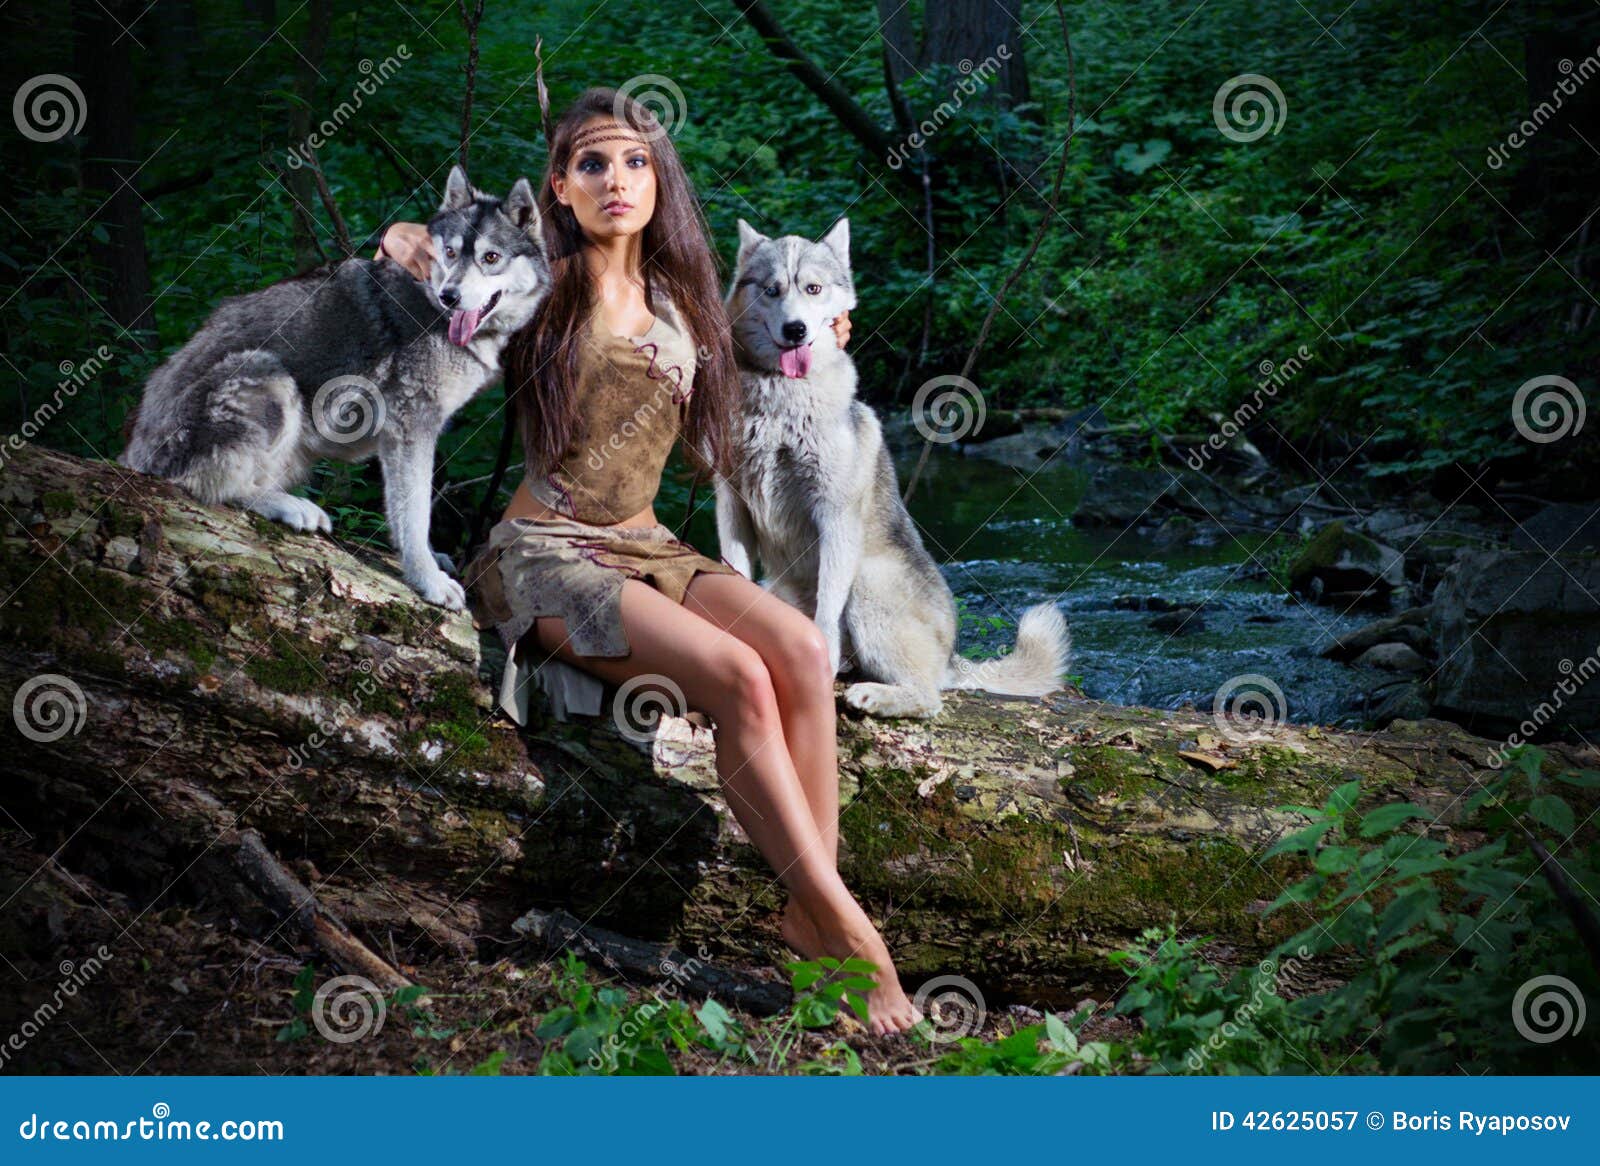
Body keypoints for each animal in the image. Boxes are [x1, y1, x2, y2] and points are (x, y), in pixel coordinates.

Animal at [121, 166, 553, 610]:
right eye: (450, 253)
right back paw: (290, 507)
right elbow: (415, 514)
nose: (450, 295)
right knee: (208, 483)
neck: (433, 307)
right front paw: (427, 579)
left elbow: (410, 511)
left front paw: (430, 561)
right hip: (270, 376)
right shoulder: (410, 428)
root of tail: (135, 448)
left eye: (490, 257)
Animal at [716, 214, 1075, 713]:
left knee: (929, 698)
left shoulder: (834, 514)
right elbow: (735, 579)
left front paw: (821, 659)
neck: (779, 401)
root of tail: (951, 658)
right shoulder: (732, 506)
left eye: (812, 288)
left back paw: (875, 693)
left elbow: (825, 614)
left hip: (868, 581)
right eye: (772, 289)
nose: (795, 330)